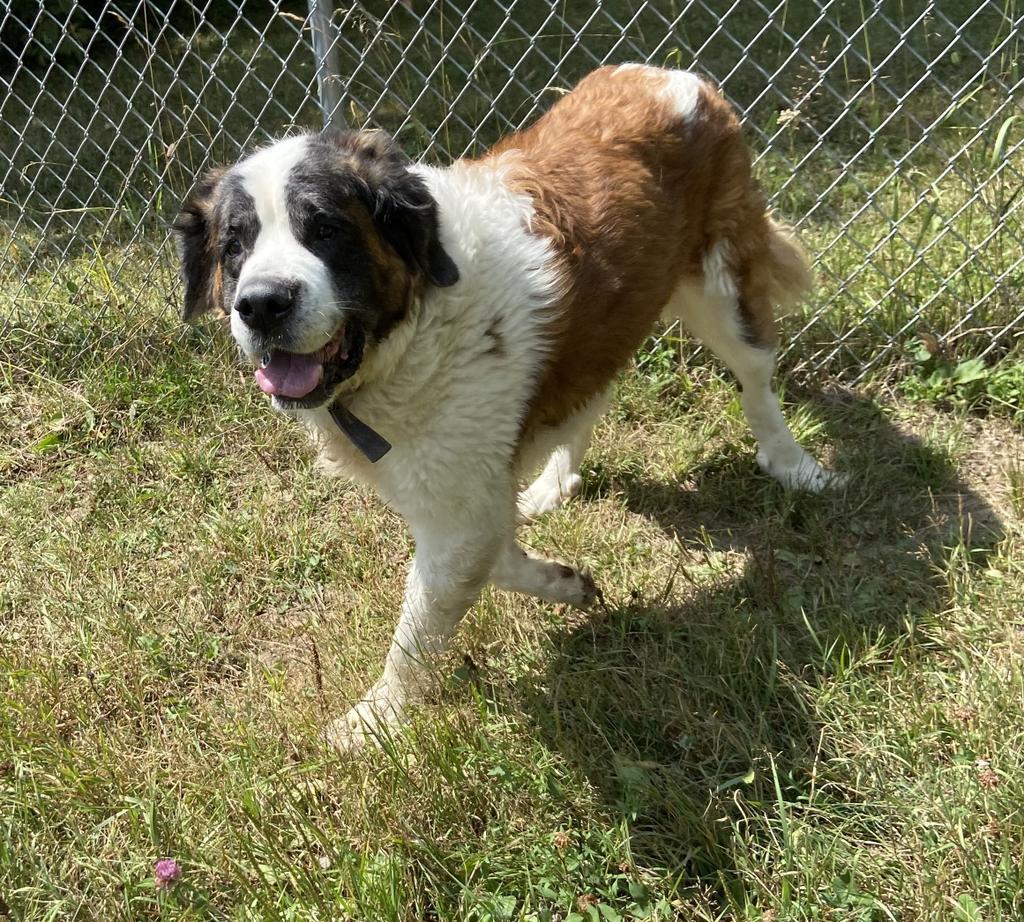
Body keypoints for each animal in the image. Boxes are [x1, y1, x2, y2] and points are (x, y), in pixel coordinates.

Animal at [176, 68, 843, 753]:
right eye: (234, 245)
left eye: (327, 230)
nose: (262, 303)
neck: (416, 324)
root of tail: (672, 76)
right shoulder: (463, 498)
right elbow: (492, 560)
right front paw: (564, 583)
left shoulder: (459, 513)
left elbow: (419, 630)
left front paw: (375, 722)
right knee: (591, 397)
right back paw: (555, 482)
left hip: (720, 291)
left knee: (756, 381)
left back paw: (794, 466)